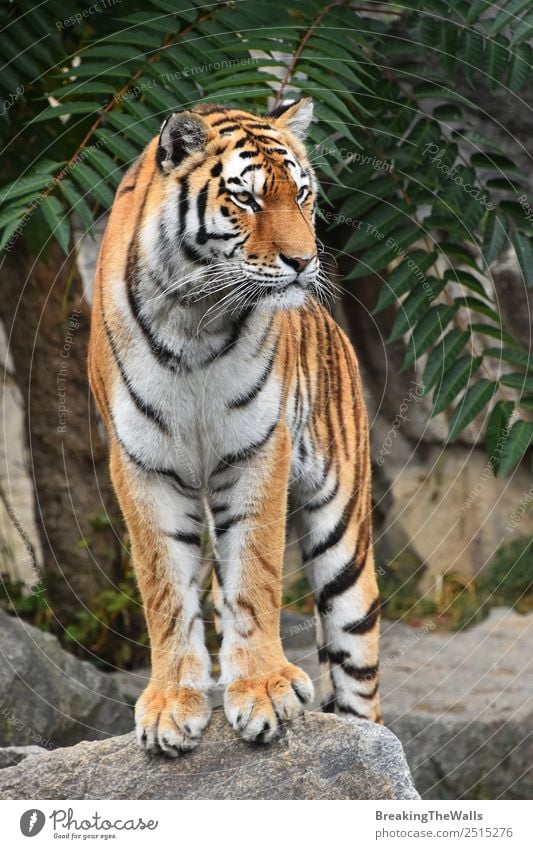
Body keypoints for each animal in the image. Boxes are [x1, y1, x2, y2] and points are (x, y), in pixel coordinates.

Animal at [90, 97, 382, 756]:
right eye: (245, 198)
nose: (305, 262)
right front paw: (171, 705)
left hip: (345, 541)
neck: (195, 317)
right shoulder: (141, 461)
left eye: (303, 195)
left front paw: (265, 690)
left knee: (360, 683)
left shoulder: (256, 449)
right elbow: (164, 587)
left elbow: (257, 571)